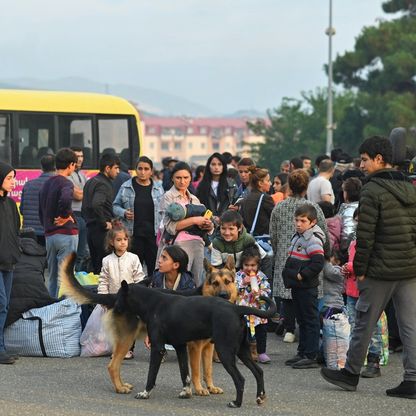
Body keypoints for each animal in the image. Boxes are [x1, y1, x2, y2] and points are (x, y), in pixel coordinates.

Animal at [60, 252, 276, 408]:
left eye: (228, 282)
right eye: (215, 282)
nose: (116, 307)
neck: (151, 301)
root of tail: (236, 308)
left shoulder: (161, 348)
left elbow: (156, 375)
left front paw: (145, 393)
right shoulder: (186, 347)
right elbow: (188, 374)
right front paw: (189, 391)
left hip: (226, 351)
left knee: (241, 378)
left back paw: (237, 403)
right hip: (239, 350)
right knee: (258, 372)